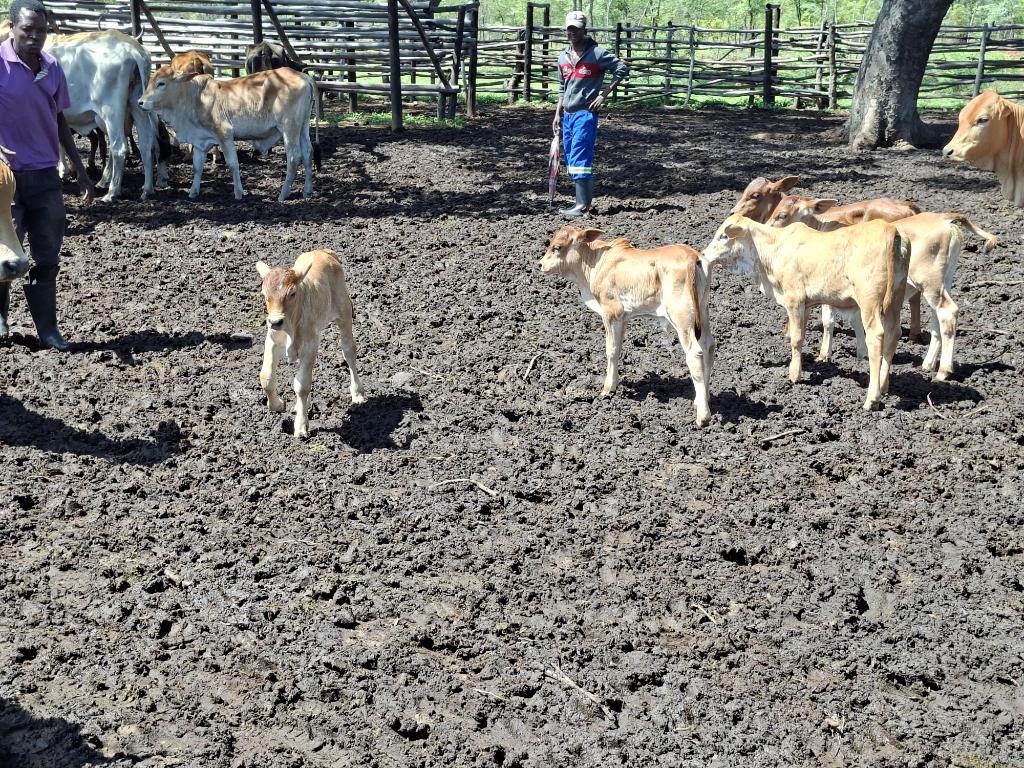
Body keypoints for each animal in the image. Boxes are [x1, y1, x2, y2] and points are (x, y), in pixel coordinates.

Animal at [138, 66, 316, 201]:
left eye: (161, 83)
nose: (140, 102)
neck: (196, 98)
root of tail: (303, 75)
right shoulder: (200, 141)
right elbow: (197, 167)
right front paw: (193, 192)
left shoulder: (224, 134)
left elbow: (233, 164)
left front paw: (238, 193)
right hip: (303, 127)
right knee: (308, 154)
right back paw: (307, 191)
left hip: (289, 128)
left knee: (294, 157)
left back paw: (283, 194)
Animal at [256, 249, 366, 438]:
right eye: (264, 294)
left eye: (292, 293)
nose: (275, 322)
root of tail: (323, 251)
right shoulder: (272, 341)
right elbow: (266, 377)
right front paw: (277, 405)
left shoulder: (310, 345)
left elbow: (302, 385)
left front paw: (301, 426)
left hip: (344, 311)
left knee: (349, 350)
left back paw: (357, 393)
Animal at [540, 226, 716, 427]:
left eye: (557, 247)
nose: (540, 264)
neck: (597, 262)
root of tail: (693, 257)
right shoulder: (623, 318)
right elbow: (618, 348)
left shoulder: (611, 313)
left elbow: (611, 350)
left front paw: (607, 388)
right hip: (703, 310)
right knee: (709, 346)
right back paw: (702, 399)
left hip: (681, 317)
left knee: (695, 353)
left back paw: (703, 416)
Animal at [703, 215, 909, 411]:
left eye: (723, 236)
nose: (703, 254)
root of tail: (888, 228)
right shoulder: (807, 304)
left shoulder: (794, 300)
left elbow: (796, 339)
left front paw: (794, 374)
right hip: (896, 298)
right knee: (893, 334)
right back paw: (884, 386)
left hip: (869, 300)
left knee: (876, 336)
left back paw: (872, 398)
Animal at [769, 201, 998, 380]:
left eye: (782, 215)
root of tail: (944, 218)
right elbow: (854, 320)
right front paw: (860, 352)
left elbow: (828, 320)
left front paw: (824, 355)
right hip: (942, 281)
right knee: (938, 318)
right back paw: (928, 364)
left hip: (929, 281)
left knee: (948, 312)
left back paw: (943, 371)